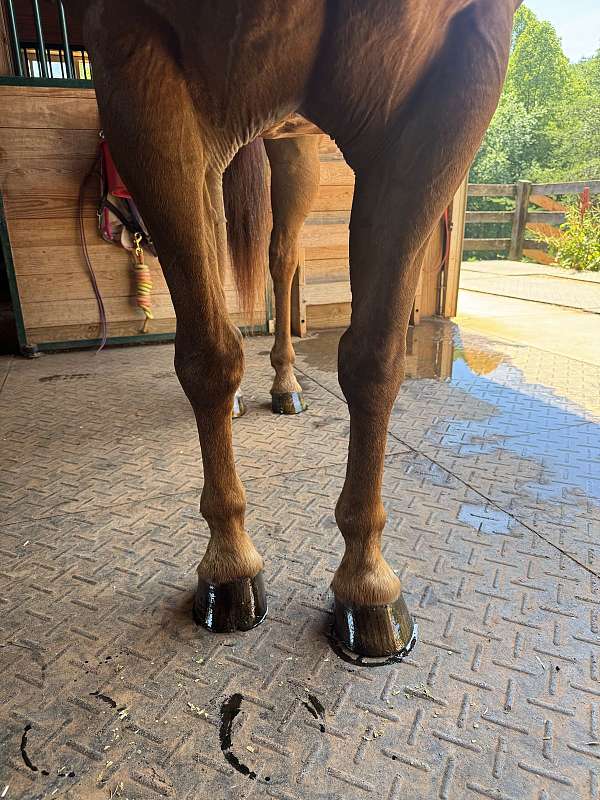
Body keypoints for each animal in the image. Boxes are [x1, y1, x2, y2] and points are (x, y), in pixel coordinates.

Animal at [63, 0, 520, 662]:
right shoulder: (135, 59)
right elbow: (208, 356)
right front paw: (229, 567)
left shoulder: (454, 77)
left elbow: (376, 359)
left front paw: (368, 586)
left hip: (294, 143)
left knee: (281, 258)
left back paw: (285, 385)